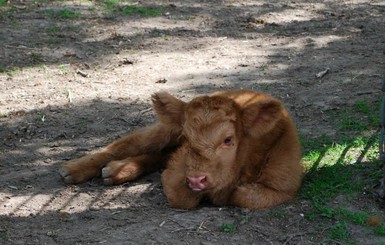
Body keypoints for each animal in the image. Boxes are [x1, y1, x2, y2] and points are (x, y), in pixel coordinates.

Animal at [58, 91, 302, 210]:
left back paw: (116, 171)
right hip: (163, 130)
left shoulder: (284, 188)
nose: (196, 179)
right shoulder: (178, 169)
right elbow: (181, 198)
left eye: (228, 139)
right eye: (187, 137)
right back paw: (73, 169)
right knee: (127, 144)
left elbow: (244, 195)